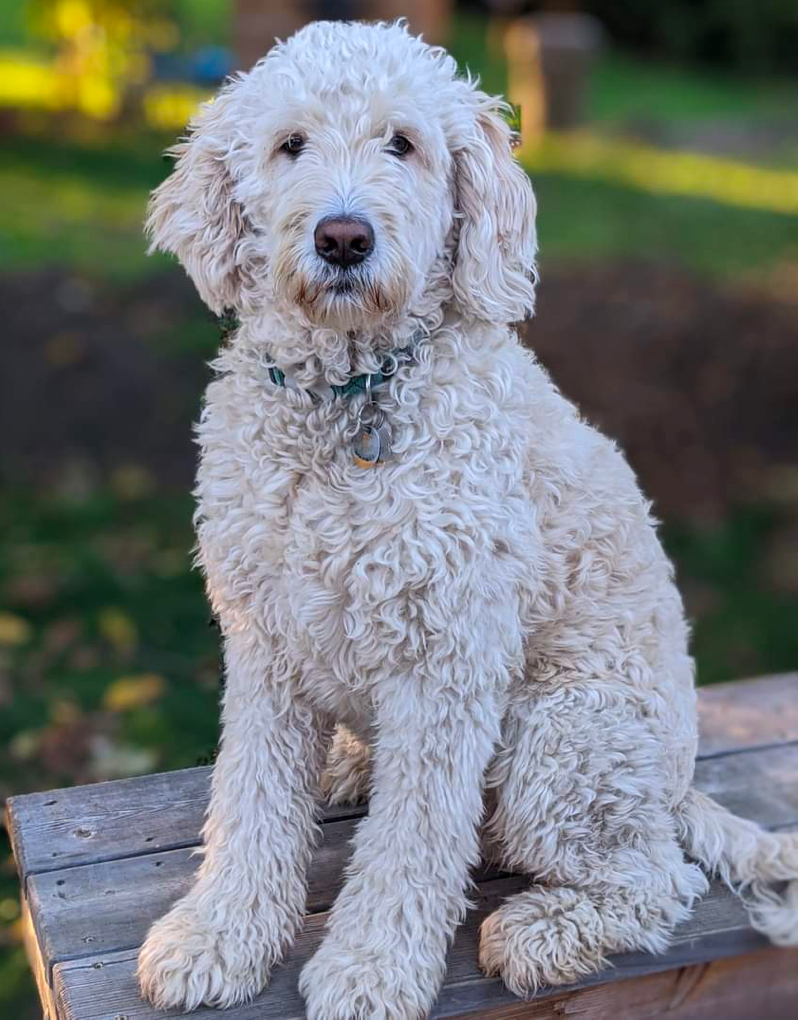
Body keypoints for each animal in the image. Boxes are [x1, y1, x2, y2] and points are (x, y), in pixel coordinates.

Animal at [134, 17, 795, 1021]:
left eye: (402, 144)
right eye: (290, 144)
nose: (342, 236)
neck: (355, 397)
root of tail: (681, 789)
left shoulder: (444, 660)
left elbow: (409, 841)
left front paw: (368, 969)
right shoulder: (264, 640)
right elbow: (250, 804)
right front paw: (220, 936)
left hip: (564, 741)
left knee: (656, 881)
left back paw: (539, 934)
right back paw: (350, 764)